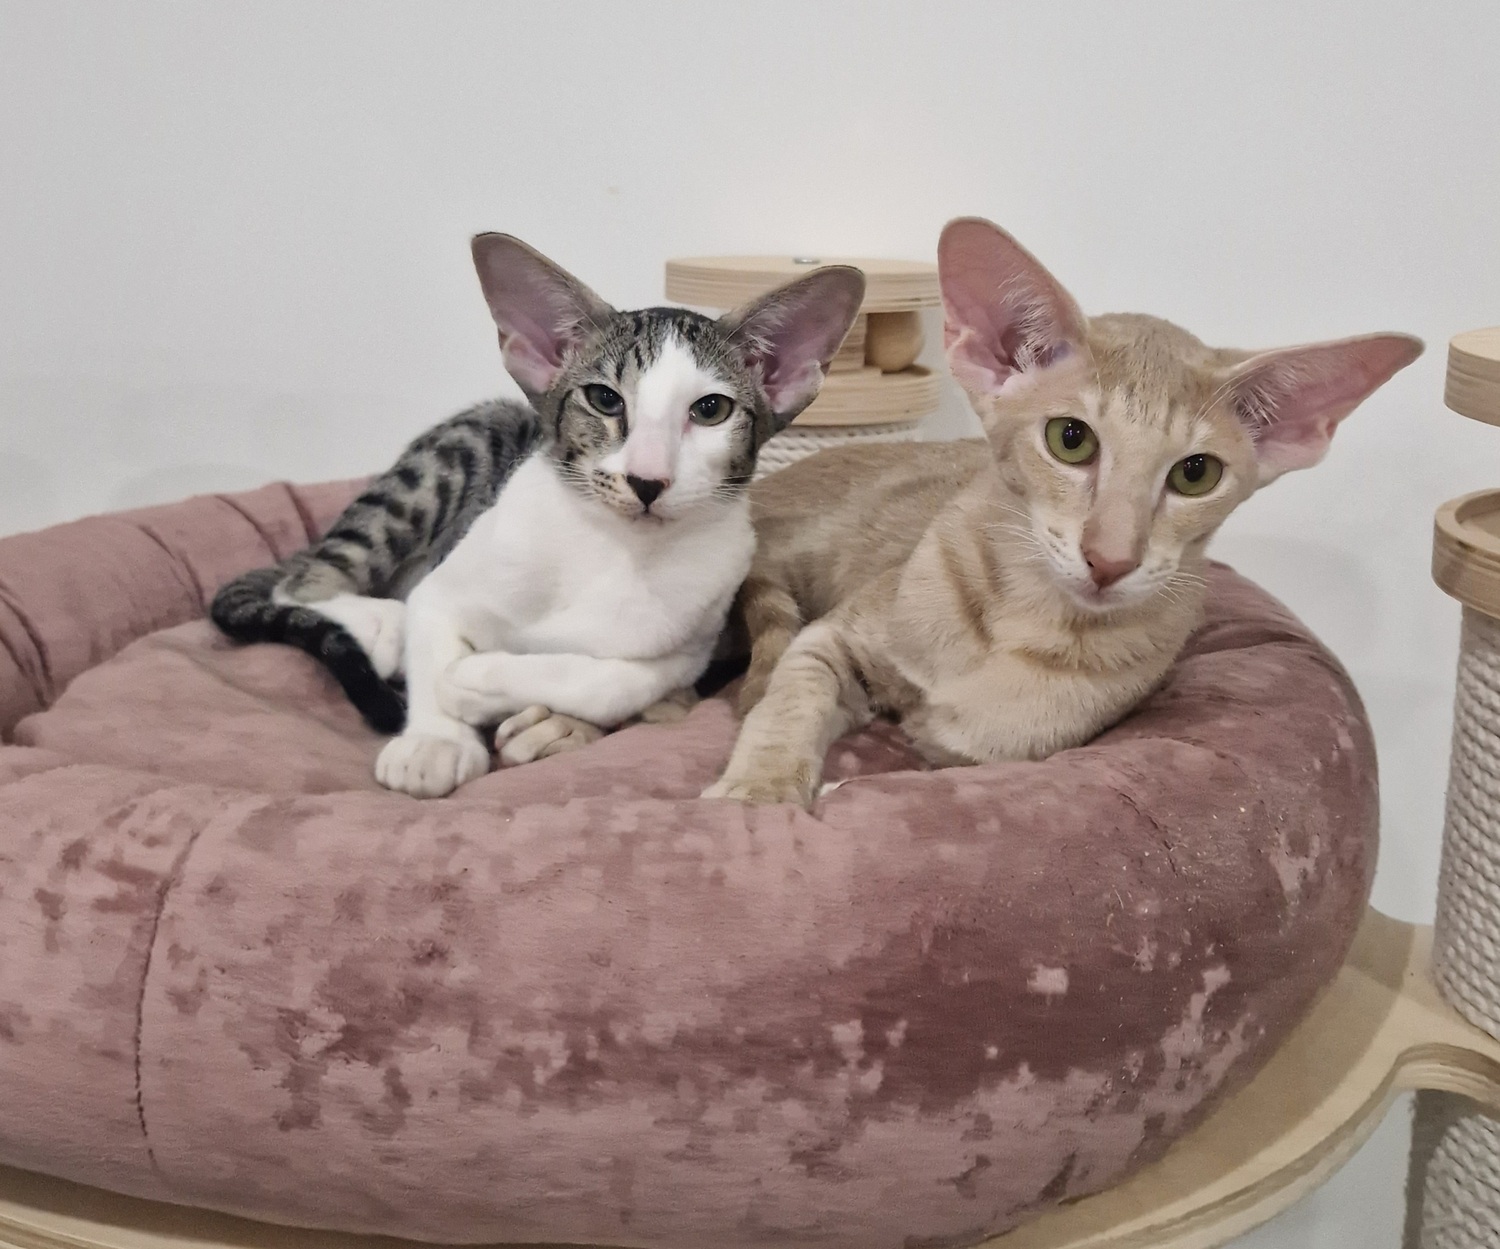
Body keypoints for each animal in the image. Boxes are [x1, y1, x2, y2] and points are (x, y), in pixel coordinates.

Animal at [211, 233, 864, 798]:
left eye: (710, 410)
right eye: (603, 399)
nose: (647, 480)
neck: (614, 548)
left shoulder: (689, 646)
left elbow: (617, 678)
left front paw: (477, 681)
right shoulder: (448, 584)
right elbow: (432, 621)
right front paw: (434, 740)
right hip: (464, 443)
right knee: (304, 582)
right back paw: (383, 623)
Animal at [702, 216, 1421, 808]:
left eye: (1196, 474)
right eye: (1070, 439)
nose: (1111, 559)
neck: (1024, 619)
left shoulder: (974, 752)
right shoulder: (830, 640)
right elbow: (788, 700)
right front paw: (760, 790)